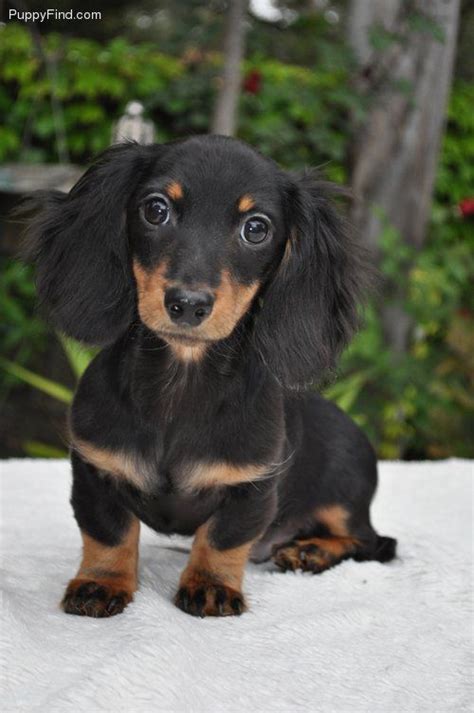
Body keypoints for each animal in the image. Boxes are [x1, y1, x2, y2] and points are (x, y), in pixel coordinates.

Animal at [25, 135, 396, 616]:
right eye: (156, 209)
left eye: (256, 228)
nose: (187, 304)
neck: (180, 385)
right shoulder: (95, 470)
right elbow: (109, 533)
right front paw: (101, 583)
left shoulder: (251, 486)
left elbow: (222, 540)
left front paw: (211, 586)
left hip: (344, 500)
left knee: (372, 543)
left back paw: (310, 550)